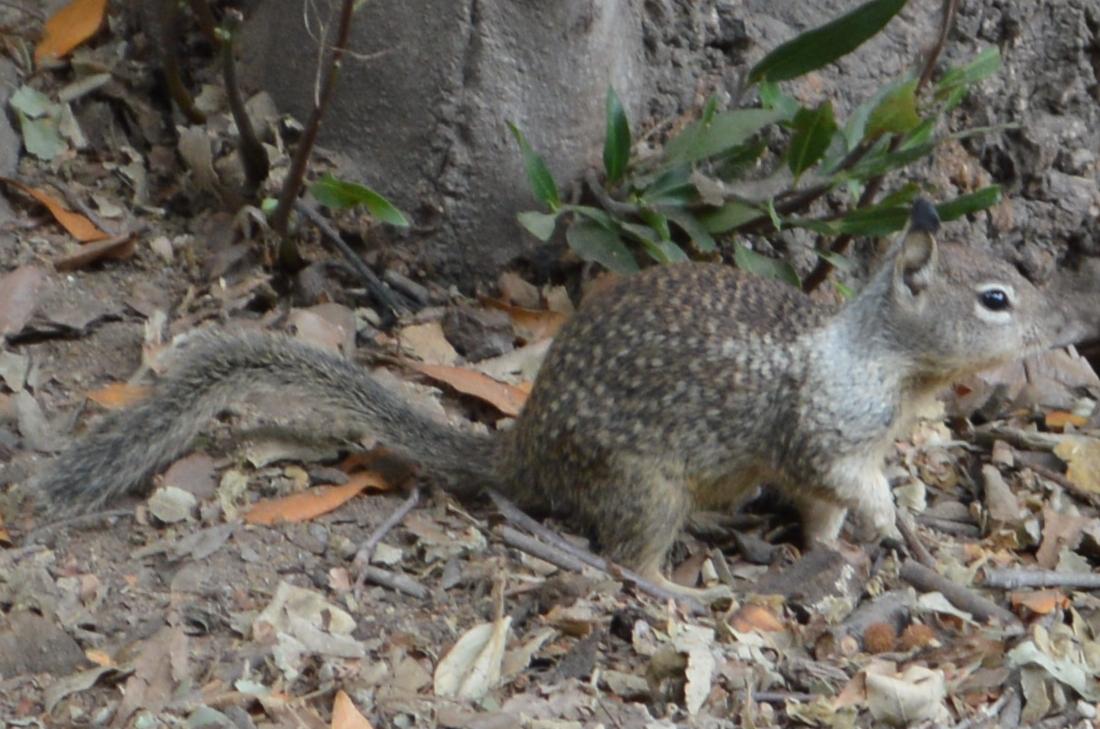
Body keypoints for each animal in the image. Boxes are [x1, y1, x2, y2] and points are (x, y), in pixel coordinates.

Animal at [27, 200, 1091, 598]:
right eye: (996, 299)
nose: (1067, 322)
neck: (885, 360)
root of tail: (522, 448)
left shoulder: (842, 450)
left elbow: (828, 508)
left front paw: (852, 541)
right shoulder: (826, 431)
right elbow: (838, 479)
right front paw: (890, 524)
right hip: (643, 484)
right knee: (626, 553)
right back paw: (679, 583)